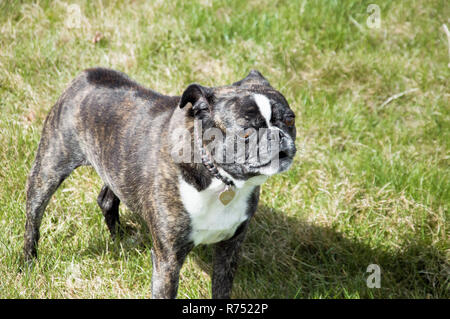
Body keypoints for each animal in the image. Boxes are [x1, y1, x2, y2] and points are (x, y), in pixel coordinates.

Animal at [26, 68, 298, 300]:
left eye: (290, 120)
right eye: (246, 133)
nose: (277, 135)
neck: (219, 179)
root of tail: (88, 75)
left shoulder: (229, 247)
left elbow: (221, 289)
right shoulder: (168, 260)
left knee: (107, 199)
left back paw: (120, 238)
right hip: (50, 166)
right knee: (34, 215)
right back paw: (28, 261)